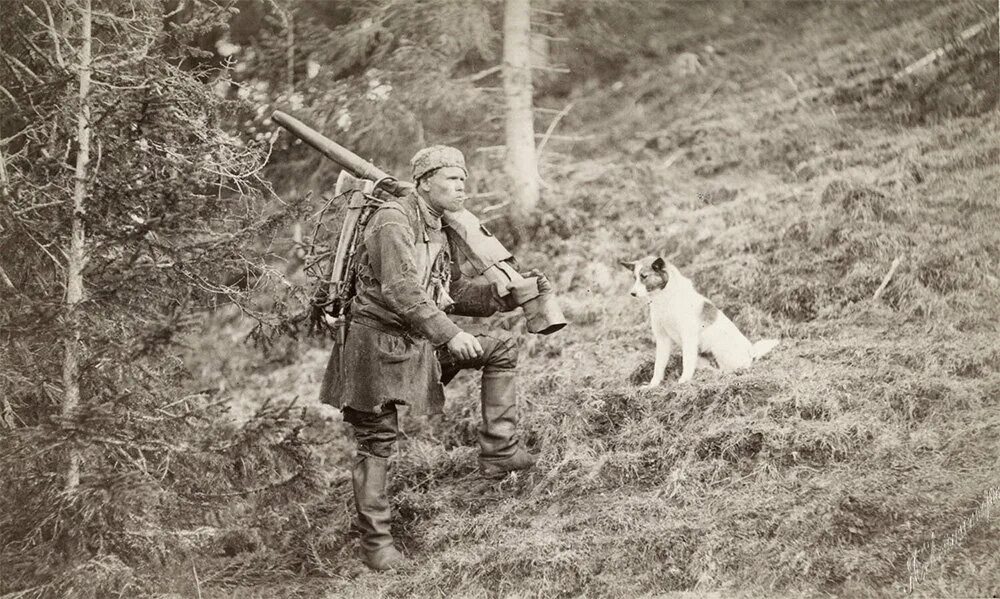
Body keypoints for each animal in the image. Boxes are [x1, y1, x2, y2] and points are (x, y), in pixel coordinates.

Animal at [620, 254, 776, 386]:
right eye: (634, 278)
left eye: (644, 276)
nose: (632, 293)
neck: (665, 298)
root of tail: (752, 354)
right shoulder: (662, 339)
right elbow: (659, 366)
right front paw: (653, 385)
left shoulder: (688, 337)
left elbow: (686, 362)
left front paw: (683, 381)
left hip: (718, 349)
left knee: (729, 369)